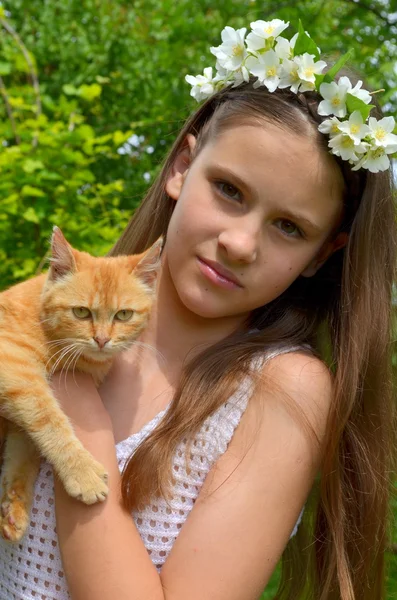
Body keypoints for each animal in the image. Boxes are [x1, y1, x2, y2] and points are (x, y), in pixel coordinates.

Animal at [0, 227, 162, 540]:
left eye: (123, 314)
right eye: (81, 312)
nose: (101, 339)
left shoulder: (19, 424)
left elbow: (23, 456)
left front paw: (13, 507)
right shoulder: (17, 371)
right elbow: (50, 421)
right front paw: (82, 473)